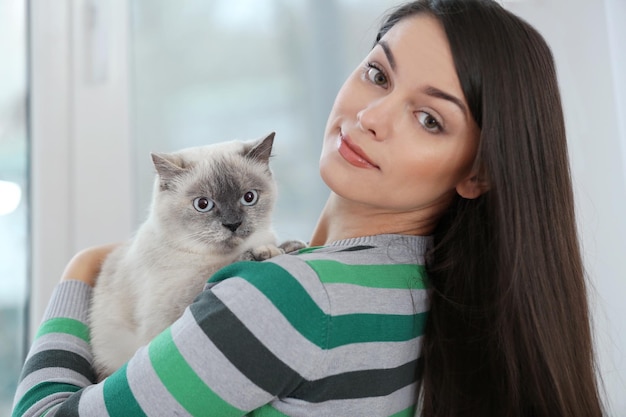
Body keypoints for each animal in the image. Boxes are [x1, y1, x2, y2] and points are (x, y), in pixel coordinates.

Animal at [88, 132, 302, 378]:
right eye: (203, 204)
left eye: (249, 197)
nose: (233, 224)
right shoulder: (166, 313)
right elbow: (214, 273)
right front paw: (264, 252)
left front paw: (291, 246)